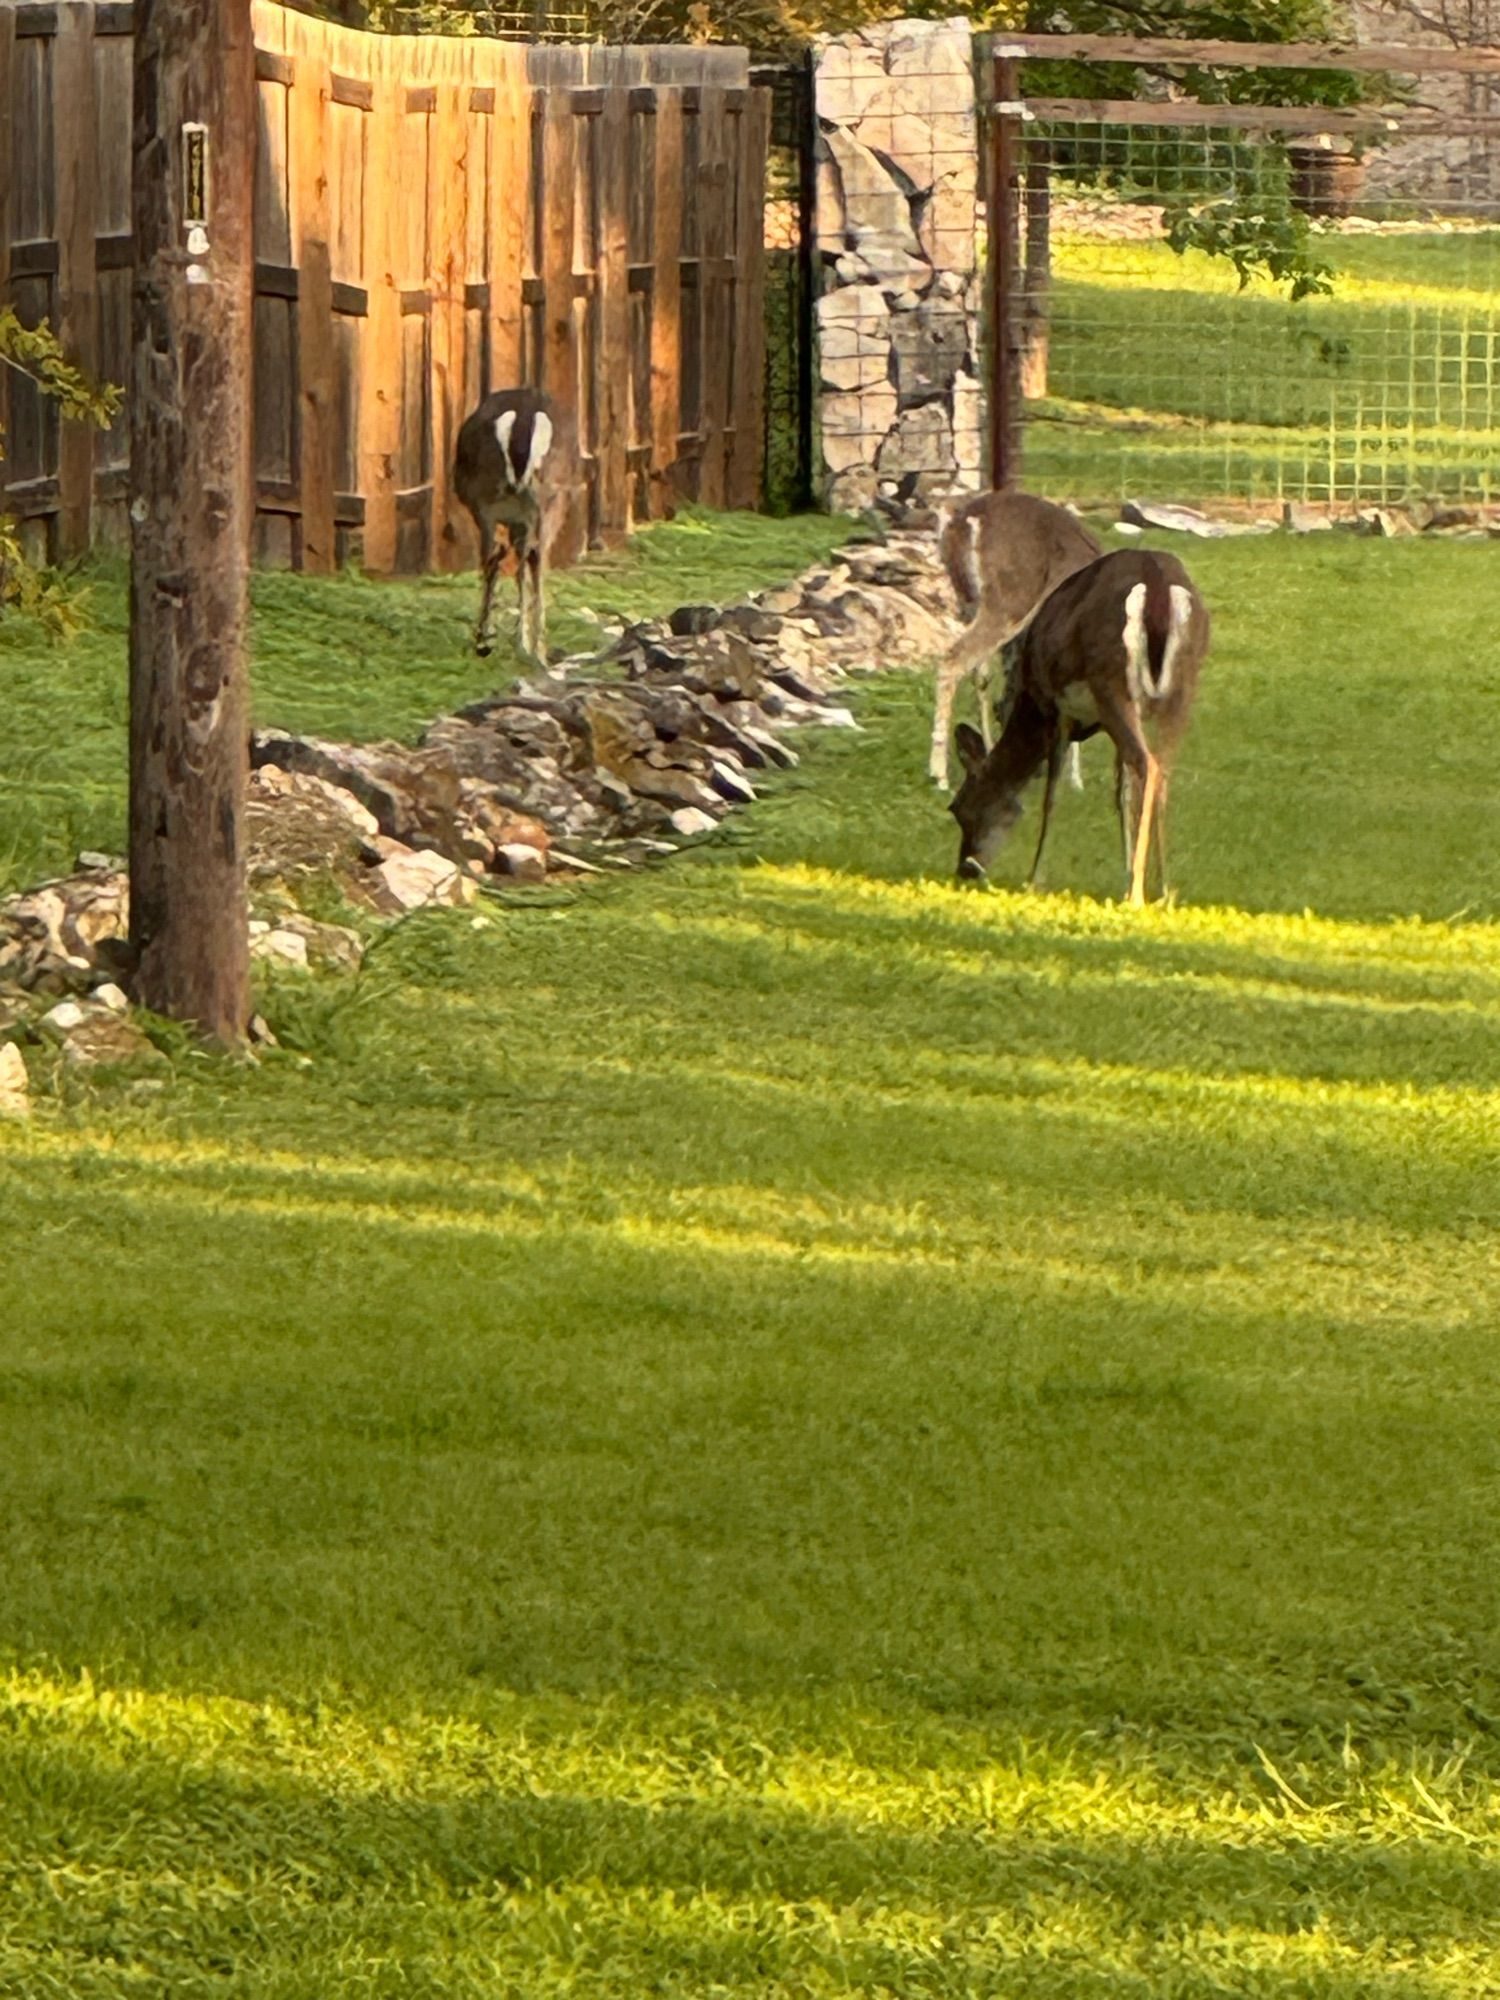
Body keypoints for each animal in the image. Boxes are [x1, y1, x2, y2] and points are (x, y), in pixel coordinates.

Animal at [450, 386, 572, 668]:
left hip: (486, 502)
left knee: (495, 558)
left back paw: (491, 640)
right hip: (546, 500)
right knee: (532, 561)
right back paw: (533, 649)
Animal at [928, 490, 1104, 788]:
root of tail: (966, 520)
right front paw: (1075, 779)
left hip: (970, 600)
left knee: (981, 674)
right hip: (1010, 602)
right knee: (955, 660)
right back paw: (939, 775)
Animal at [956, 540, 1216, 900]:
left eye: (959, 808)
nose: (965, 869)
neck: (1029, 705)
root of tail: (1157, 589)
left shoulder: (1057, 708)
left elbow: (1052, 796)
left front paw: (1035, 878)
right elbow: (1122, 793)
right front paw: (1125, 867)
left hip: (1111, 679)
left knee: (1148, 763)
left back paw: (1137, 893)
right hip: (1182, 688)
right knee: (1161, 769)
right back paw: (1164, 889)